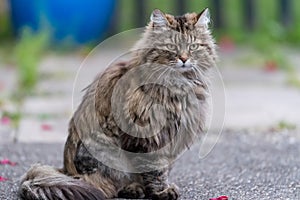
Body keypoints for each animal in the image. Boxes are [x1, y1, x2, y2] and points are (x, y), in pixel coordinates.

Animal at [18, 7, 217, 200]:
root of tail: (67, 172)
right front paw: (162, 192)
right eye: (171, 47)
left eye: (193, 46)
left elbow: (164, 169)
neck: (180, 85)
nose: (184, 59)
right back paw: (133, 190)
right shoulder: (148, 138)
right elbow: (156, 171)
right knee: (106, 186)